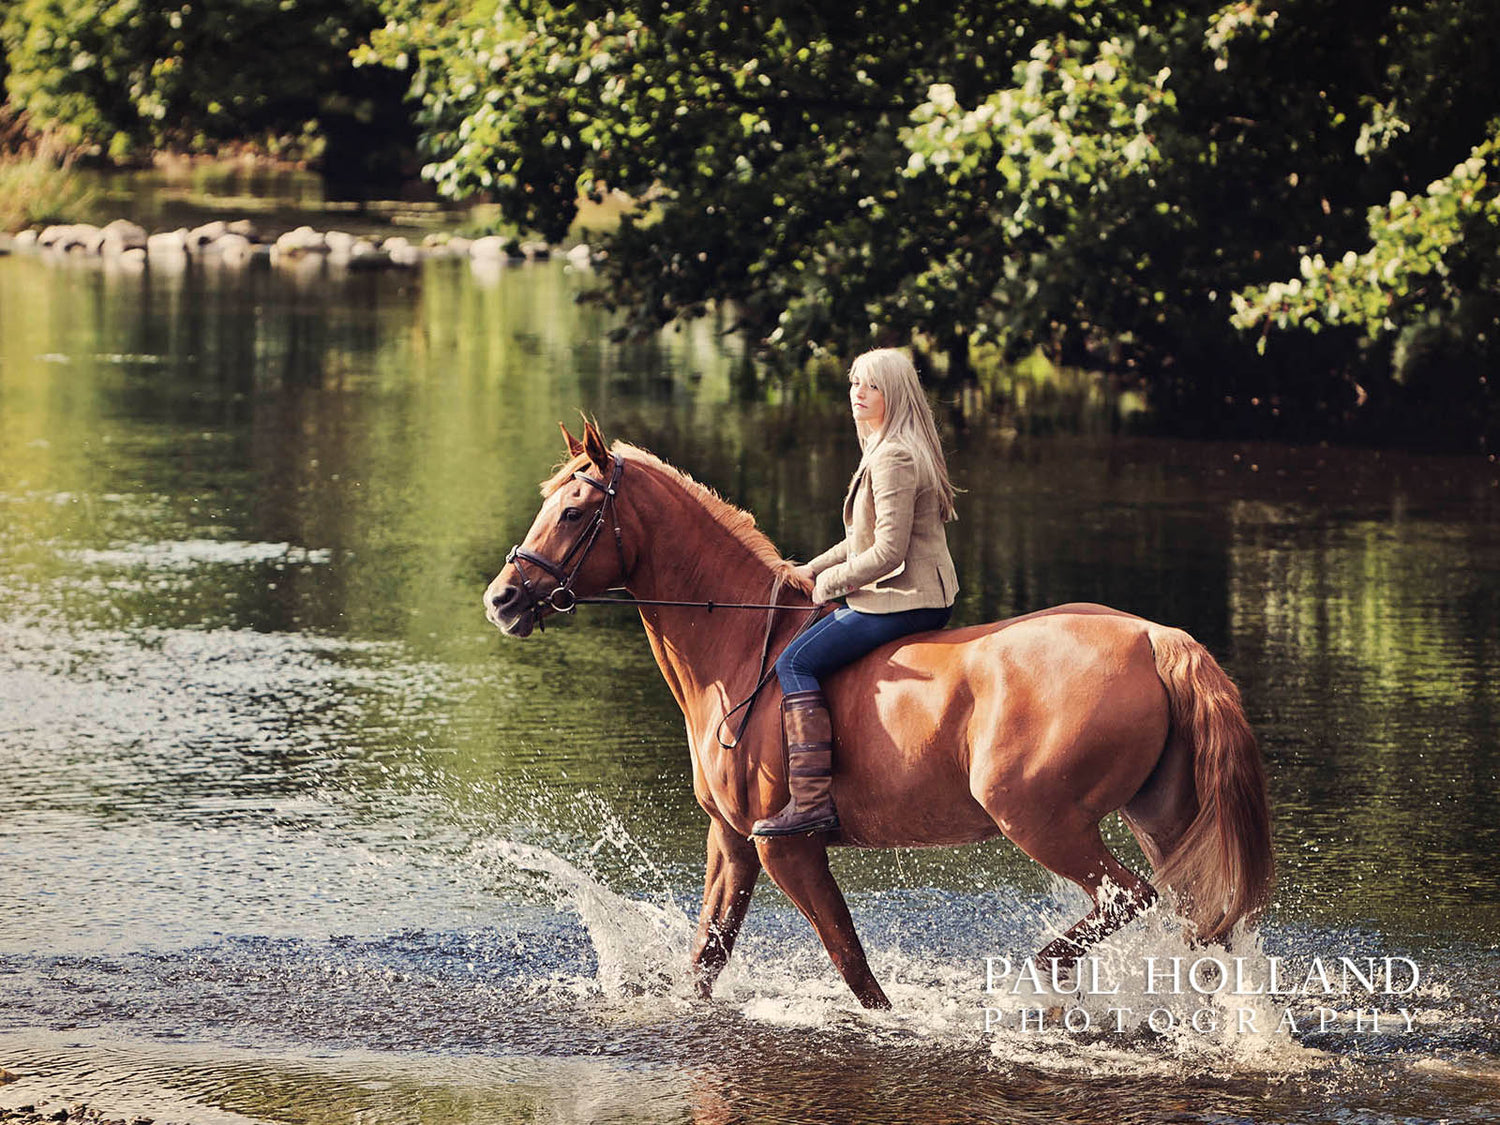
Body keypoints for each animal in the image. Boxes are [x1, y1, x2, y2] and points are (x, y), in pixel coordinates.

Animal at [486, 423, 1272, 1014]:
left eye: (574, 512)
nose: (503, 599)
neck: (738, 647)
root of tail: (1153, 637)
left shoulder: (786, 848)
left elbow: (851, 960)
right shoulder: (732, 842)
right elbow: (708, 953)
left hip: (1045, 820)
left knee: (1132, 898)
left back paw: (1038, 975)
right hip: (1161, 818)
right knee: (1205, 933)